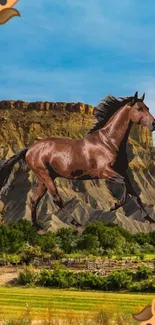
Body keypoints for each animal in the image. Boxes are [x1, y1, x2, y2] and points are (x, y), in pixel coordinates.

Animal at [0, 91, 155, 233]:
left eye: (147, 107)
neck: (108, 142)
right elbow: (124, 184)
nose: (154, 124)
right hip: (45, 176)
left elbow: (135, 194)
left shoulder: (123, 171)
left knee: (34, 199)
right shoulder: (104, 172)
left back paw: (39, 228)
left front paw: (150, 220)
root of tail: (29, 149)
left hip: (44, 179)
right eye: (139, 108)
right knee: (57, 200)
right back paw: (78, 225)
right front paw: (114, 206)